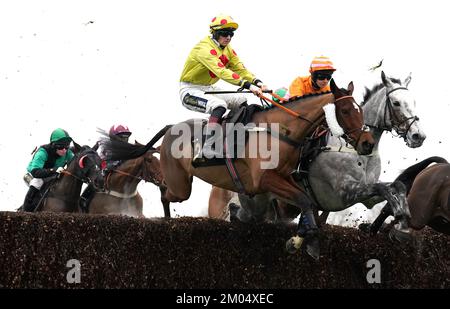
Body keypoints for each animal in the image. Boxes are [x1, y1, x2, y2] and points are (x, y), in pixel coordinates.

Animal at [103, 79, 374, 258]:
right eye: (346, 110)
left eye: (360, 109)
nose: (367, 142)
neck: (280, 131)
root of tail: (171, 128)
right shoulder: (264, 180)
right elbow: (304, 200)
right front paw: (299, 240)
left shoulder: (285, 178)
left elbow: (305, 200)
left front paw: (307, 239)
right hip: (180, 185)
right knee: (165, 194)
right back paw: (167, 222)